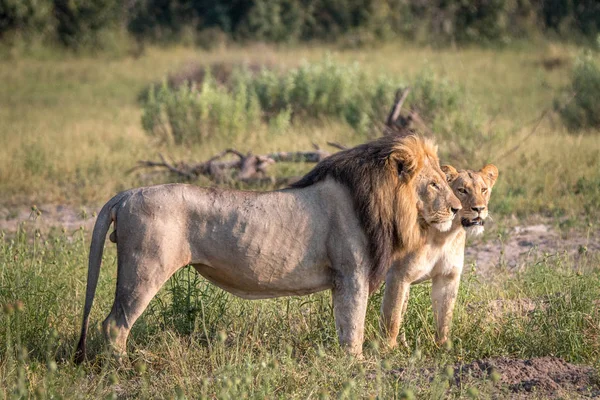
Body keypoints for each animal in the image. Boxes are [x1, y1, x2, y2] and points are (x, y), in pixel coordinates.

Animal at [74, 135, 460, 362]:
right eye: (434, 184)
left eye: (446, 180)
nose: (457, 209)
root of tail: (126, 194)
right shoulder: (353, 274)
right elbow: (355, 329)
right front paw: (358, 366)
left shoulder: (342, 281)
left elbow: (343, 326)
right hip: (145, 269)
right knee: (114, 324)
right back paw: (124, 369)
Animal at [382, 164, 500, 348]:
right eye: (462, 190)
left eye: (484, 190)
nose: (479, 209)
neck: (443, 236)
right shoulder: (397, 276)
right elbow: (392, 317)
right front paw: (388, 350)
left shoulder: (447, 277)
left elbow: (444, 317)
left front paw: (443, 346)